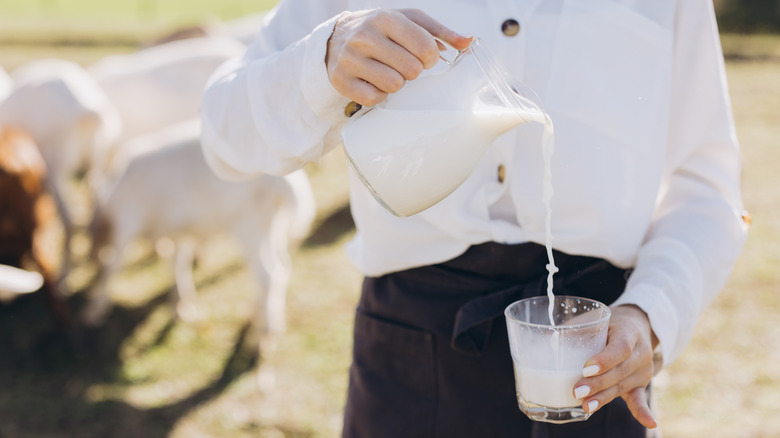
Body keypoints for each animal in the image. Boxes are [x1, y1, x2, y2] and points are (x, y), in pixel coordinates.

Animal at [84, 122, 316, 360]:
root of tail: (287, 182)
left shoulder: (128, 222)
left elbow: (112, 267)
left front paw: (92, 314)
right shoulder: (177, 232)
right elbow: (177, 263)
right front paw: (179, 306)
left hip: (250, 226)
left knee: (269, 274)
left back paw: (264, 338)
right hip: (273, 226)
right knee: (283, 266)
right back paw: (257, 316)